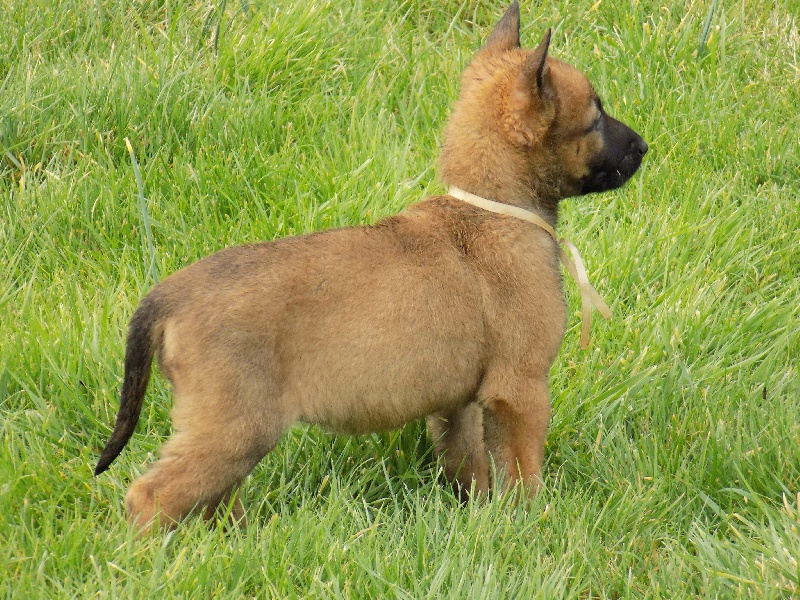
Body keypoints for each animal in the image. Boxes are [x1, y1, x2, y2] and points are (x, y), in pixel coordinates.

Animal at [95, 1, 647, 531]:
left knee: (210, 499)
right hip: (234, 429)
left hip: (228, 432)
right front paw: (531, 525)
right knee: (150, 497)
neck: (490, 208)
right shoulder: (521, 389)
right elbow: (523, 473)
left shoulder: (459, 404)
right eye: (596, 118)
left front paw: (479, 518)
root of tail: (168, 295)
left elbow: (470, 466)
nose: (644, 146)